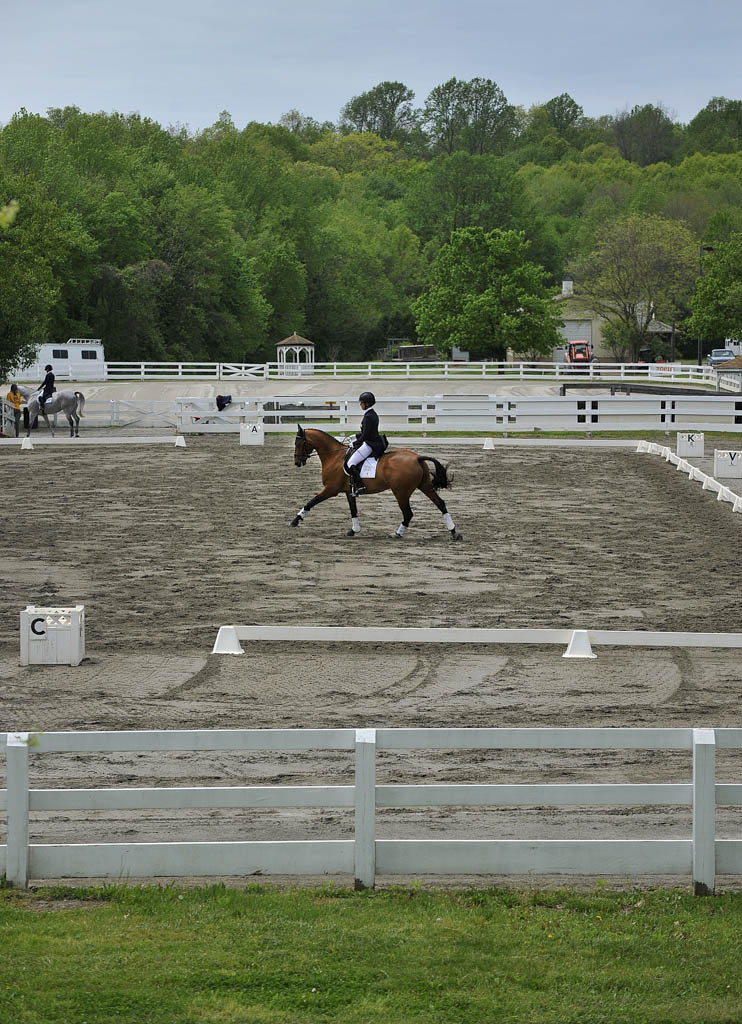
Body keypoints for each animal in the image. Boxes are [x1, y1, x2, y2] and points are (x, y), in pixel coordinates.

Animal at [290, 423, 460, 540]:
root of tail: (417, 458)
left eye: (299, 443)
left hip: (401, 492)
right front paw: (354, 530)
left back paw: (397, 534)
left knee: (408, 513)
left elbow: (311, 502)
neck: (333, 457)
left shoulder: (331, 489)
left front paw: (295, 521)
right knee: (440, 504)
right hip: (424, 485)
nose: (297, 463)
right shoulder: (349, 491)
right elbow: (353, 510)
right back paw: (454, 533)